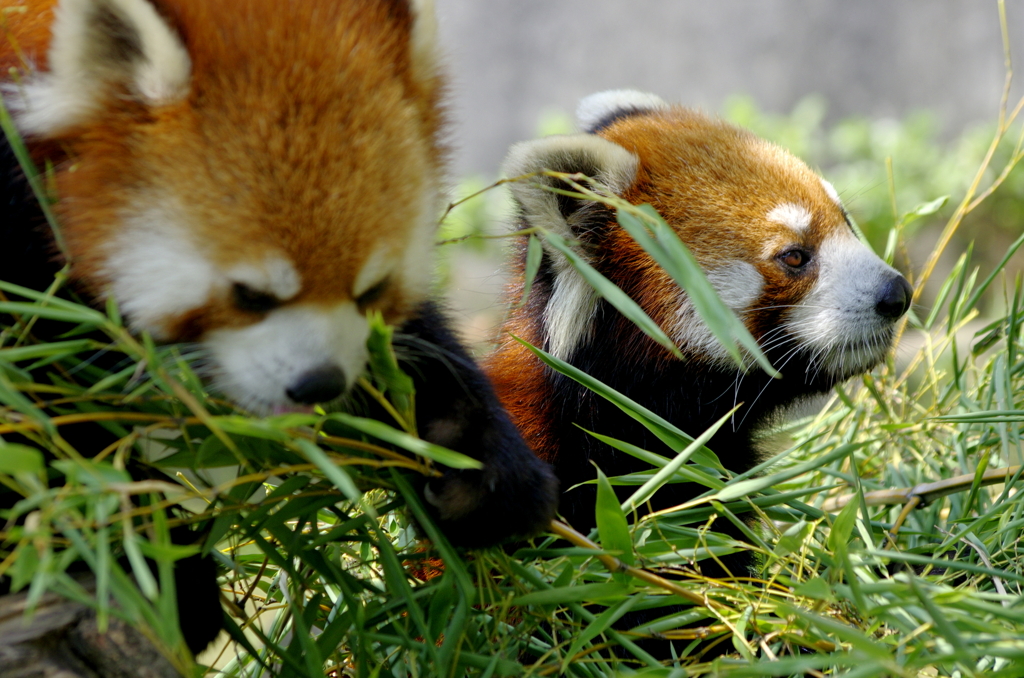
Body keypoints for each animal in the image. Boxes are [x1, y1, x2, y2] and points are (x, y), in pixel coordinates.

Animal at [4, 0, 557, 659]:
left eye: (370, 289)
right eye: (250, 295)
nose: (319, 383)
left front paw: (480, 462)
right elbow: (43, 432)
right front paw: (165, 574)